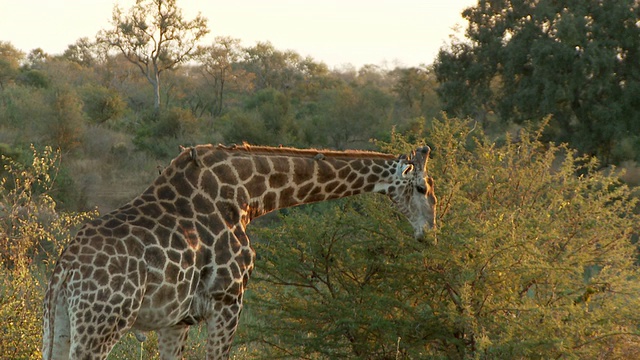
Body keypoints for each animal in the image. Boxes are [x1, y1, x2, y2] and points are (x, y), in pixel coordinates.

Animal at [43, 143, 436, 358]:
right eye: (421, 188)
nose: (429, 235)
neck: (250, 195)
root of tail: (64, 269)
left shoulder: (176, 320)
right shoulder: (228, 300)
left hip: (59, 323)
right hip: (102, 323)